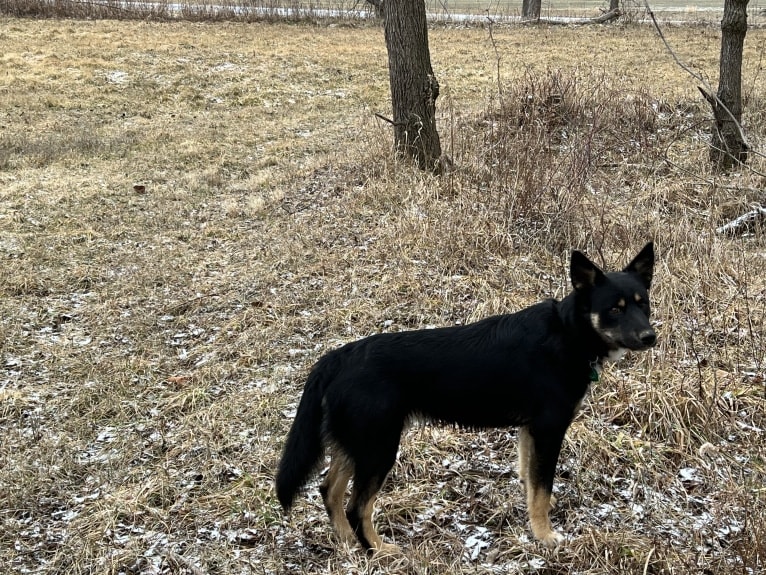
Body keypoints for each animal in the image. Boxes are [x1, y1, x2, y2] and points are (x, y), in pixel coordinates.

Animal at [280, 244, 656, 552]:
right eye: (615, 309)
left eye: (644, 304)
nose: (650, 337)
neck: (568, 333)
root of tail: (338, 356)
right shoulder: (549, 430)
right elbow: (543, 490)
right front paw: (545, 536)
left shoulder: (529, 431)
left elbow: (529, 480)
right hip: (378, 447)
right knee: (356, 506)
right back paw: (380, 550)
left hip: (358, 442)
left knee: (329, 491)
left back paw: (347, 544)